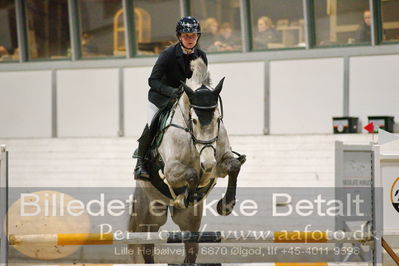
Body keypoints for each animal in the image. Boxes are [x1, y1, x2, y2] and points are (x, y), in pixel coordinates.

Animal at [130, 58, 245, 264]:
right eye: (194, 120)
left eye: (218, 118)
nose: (207, 163)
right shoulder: (171, 170)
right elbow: (191, 174)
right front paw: (187, 197)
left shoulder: (220, 163)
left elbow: (234, 166)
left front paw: (225, 205)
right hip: (149, 215)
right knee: (146, 248)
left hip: (189, 221)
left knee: (190, 251)